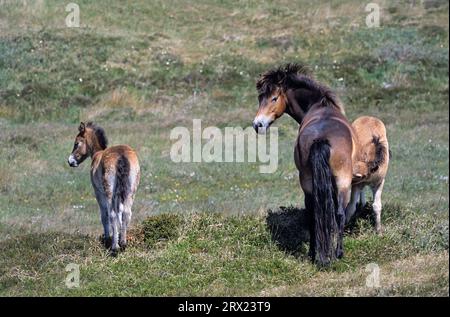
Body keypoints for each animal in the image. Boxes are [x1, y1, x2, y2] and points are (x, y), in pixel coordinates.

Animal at [67, 121, 139, 254]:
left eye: (77, 143)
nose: (70, 161)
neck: (97, 154)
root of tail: (121, 155)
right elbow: (120, 212)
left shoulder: (98, 192)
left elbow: (104, 215)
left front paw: (107, 239)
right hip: (131, 190)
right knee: (126, 212)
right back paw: (123, 243)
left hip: (109, 191)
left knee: (112, 214)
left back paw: (115, 246)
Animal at [255, 63, 356, 264]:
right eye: (260, 98)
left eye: (273, 98)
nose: (258, 125)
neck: (320, 106)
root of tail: (321, 139)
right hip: (335, 182)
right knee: (327, 214)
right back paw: (330, 253)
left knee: (328, 214)